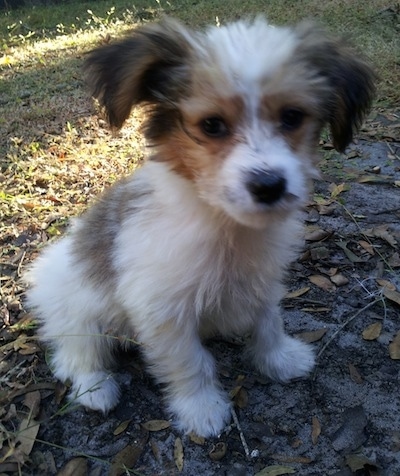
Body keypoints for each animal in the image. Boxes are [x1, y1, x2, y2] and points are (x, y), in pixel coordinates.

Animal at [25, 17, 376, 436]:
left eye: (292, 117)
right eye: (211, 125)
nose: (269, 185)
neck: (224, 224)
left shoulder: (261, 279)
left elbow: (268, 321)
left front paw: (278, 359)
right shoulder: (162, 310)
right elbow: (190, 362)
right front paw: (201, 408)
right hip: (75, 310)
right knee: (75, 353)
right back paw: (95, 387)